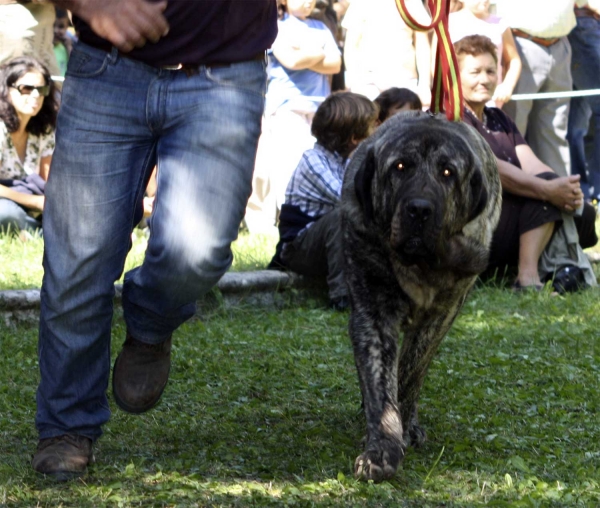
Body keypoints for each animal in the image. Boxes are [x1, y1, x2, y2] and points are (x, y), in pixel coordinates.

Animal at [342, 110, 502, 480]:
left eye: (448, 172)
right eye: (400, 167)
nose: (419, 209)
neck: (418, 266)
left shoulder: (441, 315)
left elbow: (410, 371)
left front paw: (403, 425)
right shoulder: (373, 314)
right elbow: (380, 384)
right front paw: (382, 448)